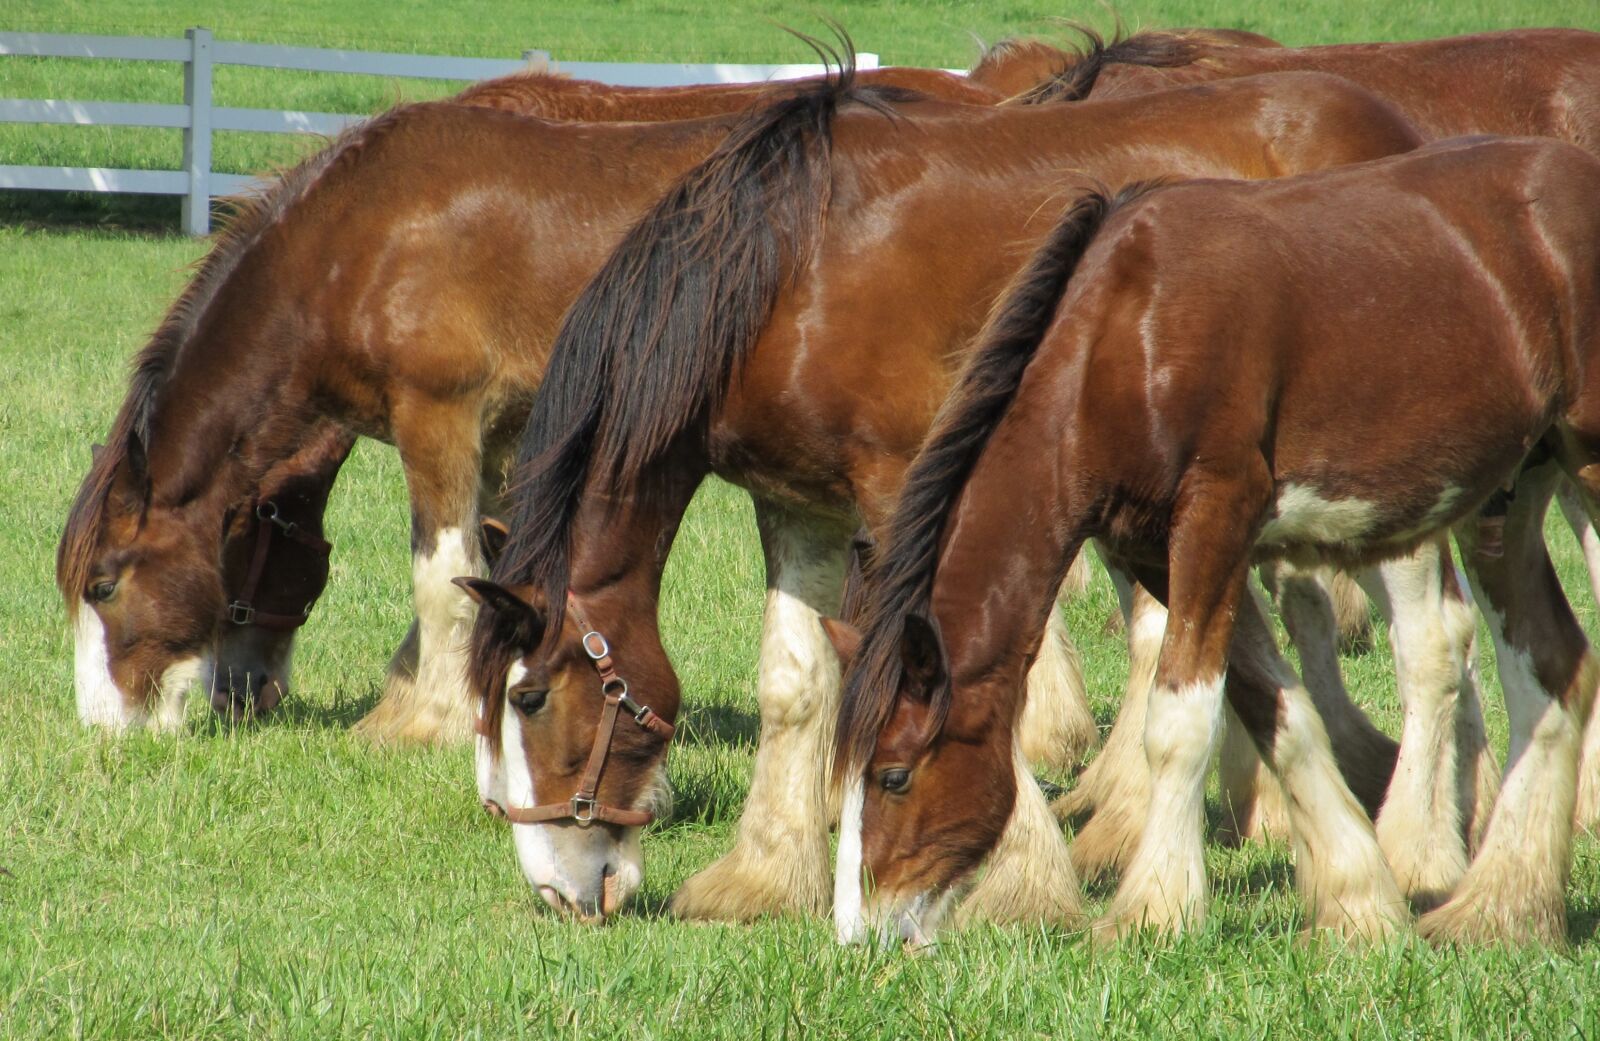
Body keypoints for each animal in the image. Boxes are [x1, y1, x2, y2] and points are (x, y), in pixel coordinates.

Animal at [56, 60, 1011, 733]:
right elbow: (485, 569)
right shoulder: (505, 439)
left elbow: (442, 576)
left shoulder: (439, 416)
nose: (106, 726)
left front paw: (428, 722)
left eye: (103, 585)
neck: (361, 239)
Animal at [459, 68, 1424, 923]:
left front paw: (1021, 883)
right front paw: (765, 876)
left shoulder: (901, 490)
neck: (790, 271)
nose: (556, 888)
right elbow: (794, 682)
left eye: (528, 698)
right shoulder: (797, 504)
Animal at [830, 137, 1600, 948]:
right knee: (1550, 668)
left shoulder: (1218, 518)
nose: (857, 931)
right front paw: (1358, 901)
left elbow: (1180, 721)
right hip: (1510, 496)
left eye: (893, 775)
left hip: (1585, 463)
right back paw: (1502, 909)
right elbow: (1276, 712)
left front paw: (1153, 908)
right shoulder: (1154, 551)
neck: (1129, 337)